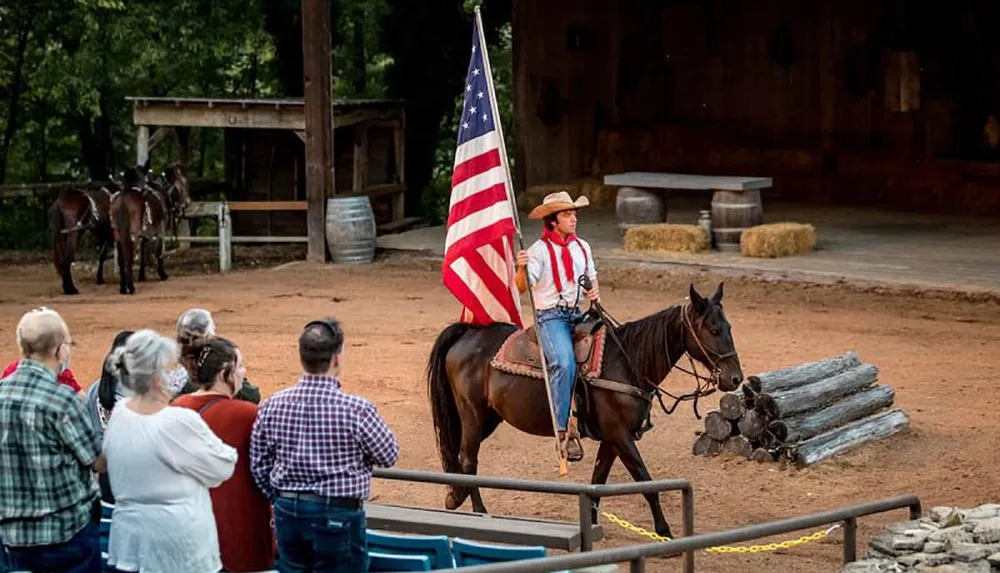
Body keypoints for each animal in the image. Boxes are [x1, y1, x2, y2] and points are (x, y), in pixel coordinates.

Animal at [112, 163, 192, 292]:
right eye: (184, 182)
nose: (188, 201)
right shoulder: (159, 228)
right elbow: (158, 249)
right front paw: (162, 273)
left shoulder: (144, 233)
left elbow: (143, 253)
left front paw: (142, 275)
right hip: (133, 233)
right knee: (129, 256)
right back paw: (130, 286)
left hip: (118, 233)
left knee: (121, 258)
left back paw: (123, 287)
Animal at [426, 284, 748, 540]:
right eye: (714, 330)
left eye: (731, 328)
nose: (735, 378)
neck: (628, 362)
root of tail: (467, 331)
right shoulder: (620, 436)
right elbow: (646, 483)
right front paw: (665, 531)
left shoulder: (611, 439)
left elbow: (598, 481)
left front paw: (591, 526)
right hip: (473, 416)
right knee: (468, 460)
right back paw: (480, 512)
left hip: (488, 418)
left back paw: (455, 498)